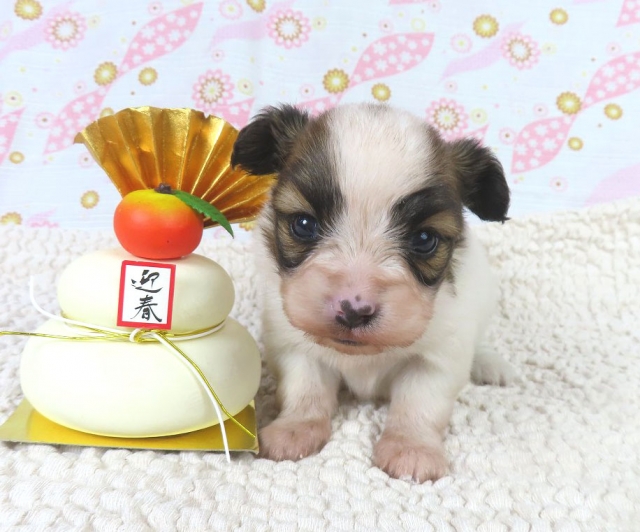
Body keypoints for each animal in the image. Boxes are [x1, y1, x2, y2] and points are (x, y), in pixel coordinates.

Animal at [231, 103, 515, 482]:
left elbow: (420, 403)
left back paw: (490, 364)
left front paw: (411, 448)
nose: (354, 310)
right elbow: (305, 388)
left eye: (424, 240)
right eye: (303, 225)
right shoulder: (292, 343)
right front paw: (294, 429)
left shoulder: (439, 356)